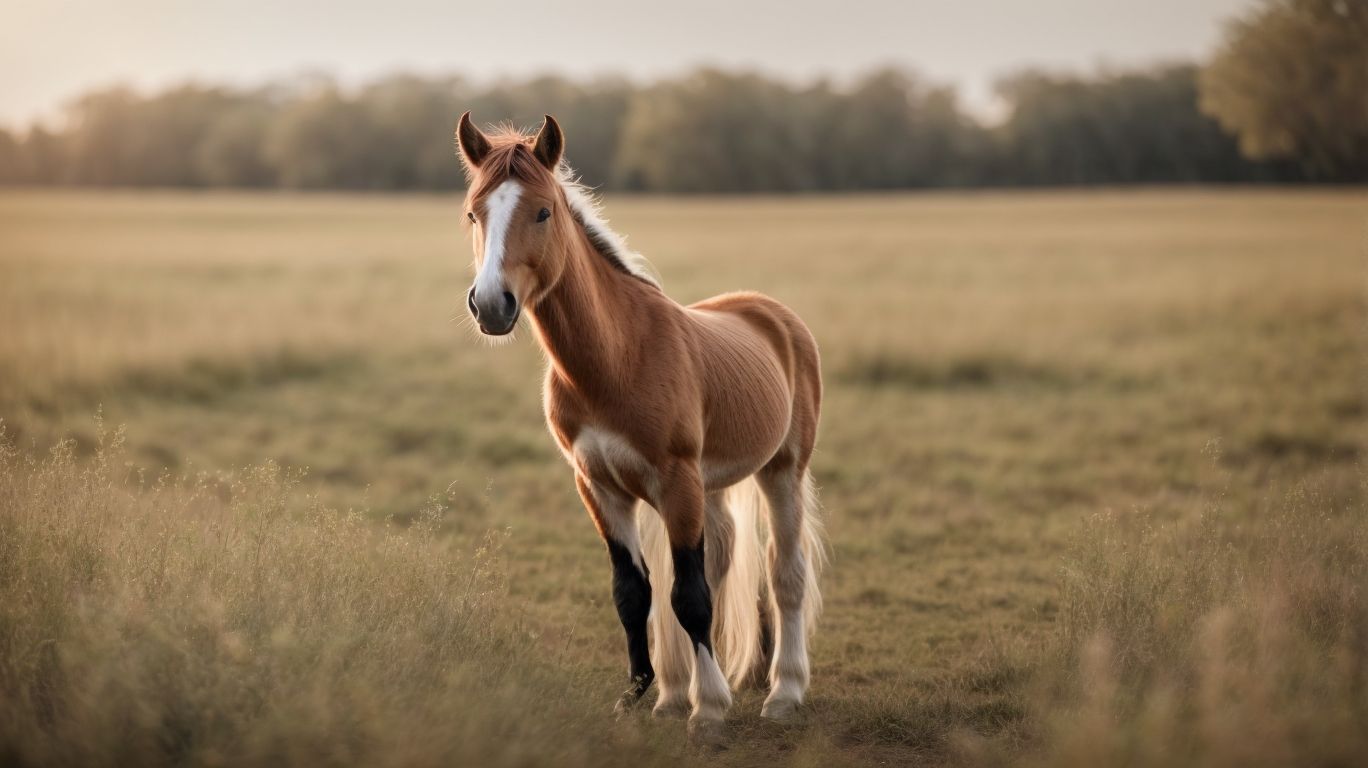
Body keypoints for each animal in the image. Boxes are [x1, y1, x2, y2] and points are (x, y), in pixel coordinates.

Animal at [455, 112, 826, 740]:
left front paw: (709, 710)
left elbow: (690, 596)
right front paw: (644, 694)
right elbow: (635, 593)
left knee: (785, 573)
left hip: (782, 471)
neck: (617, 357)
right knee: (723, 559)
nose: (491, 305)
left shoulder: (676, 482)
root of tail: (772, 312)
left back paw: (784, 692)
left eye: (543, 211)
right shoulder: (599, 487)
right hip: (713, 485)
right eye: (473, 213)